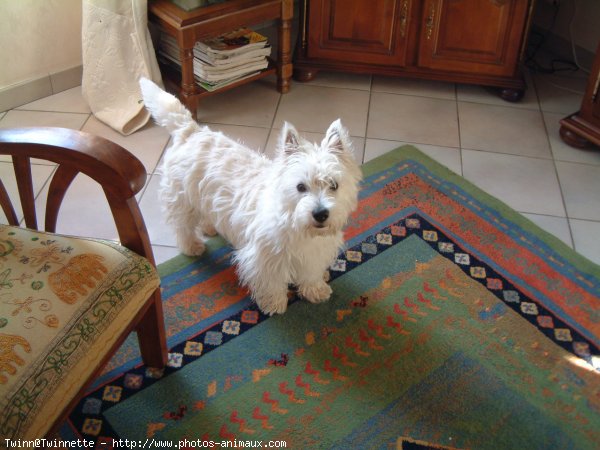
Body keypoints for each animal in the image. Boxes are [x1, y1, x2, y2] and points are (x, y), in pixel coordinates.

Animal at [139, 77, 360, 314]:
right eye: (300, 187)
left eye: (334, 185)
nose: (320, 214)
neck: (299, 227)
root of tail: (190, 131)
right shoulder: (265, 256)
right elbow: (271, 281)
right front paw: (274, 303)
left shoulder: (313, 253)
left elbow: (310, 274)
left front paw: (316, 291)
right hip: (182, 199)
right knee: (182, 227)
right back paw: (193, 247)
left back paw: (210, 227)